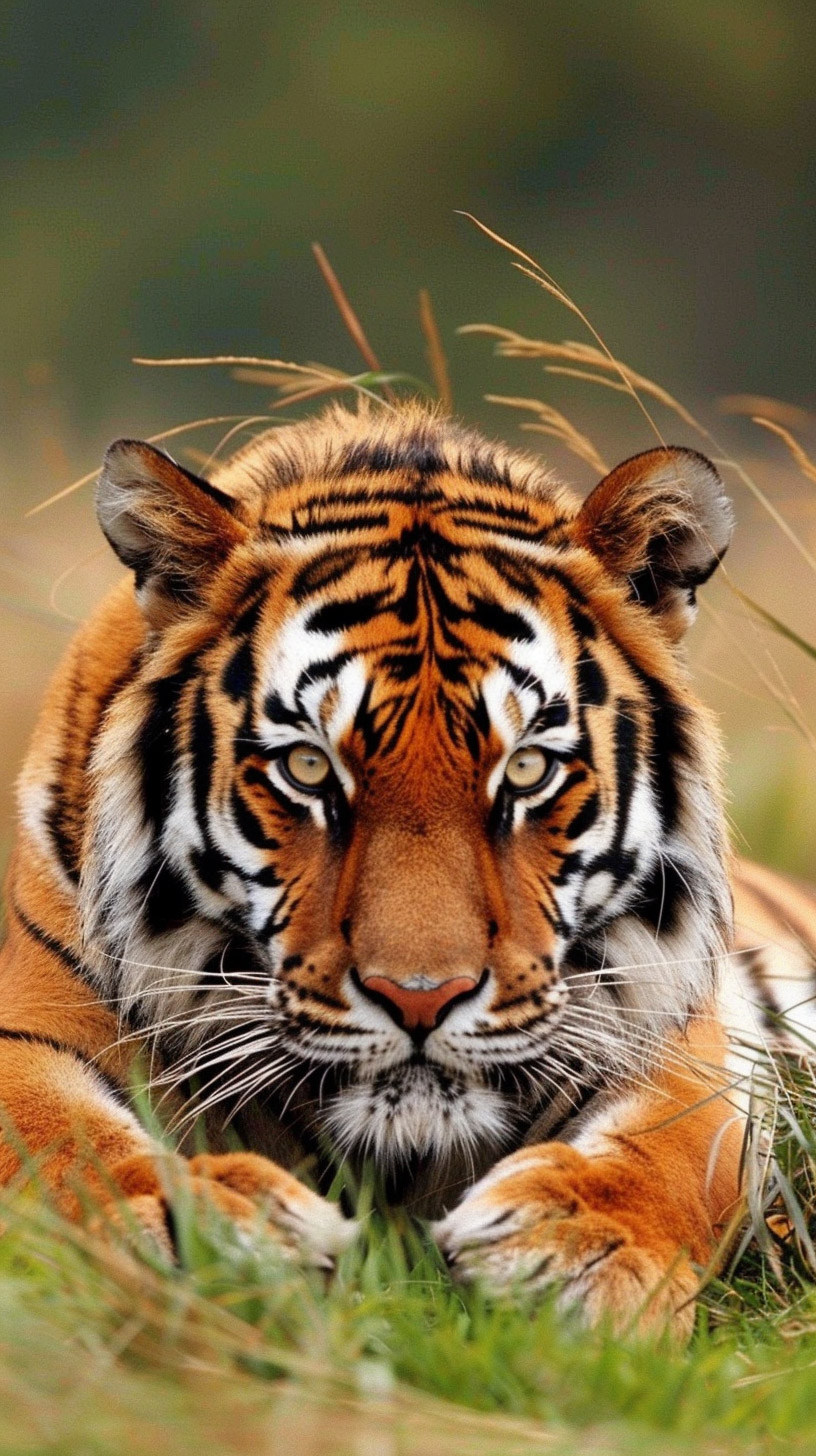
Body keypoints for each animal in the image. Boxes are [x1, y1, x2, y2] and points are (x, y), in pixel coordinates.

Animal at [1, 400, 814, 1335]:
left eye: (526, 770)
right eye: (308, 767)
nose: (420, 999)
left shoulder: (683, 1041)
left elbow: (667, 1149)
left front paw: (575, 1250)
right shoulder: (31, 1030)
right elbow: (64, 1146)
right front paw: (205, 1227)